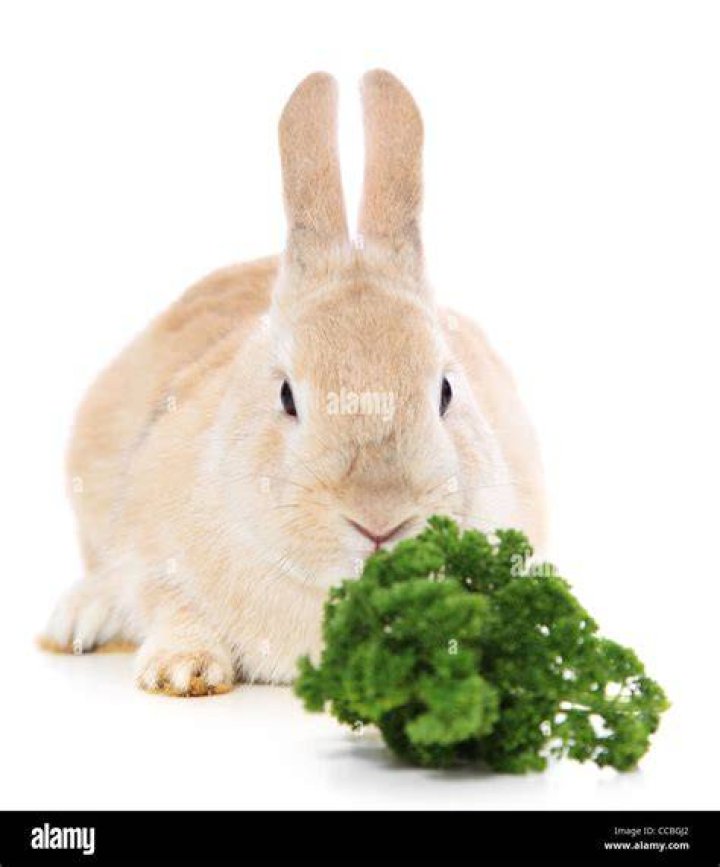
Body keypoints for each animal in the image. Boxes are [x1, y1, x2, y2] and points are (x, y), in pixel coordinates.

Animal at [40, 70, 546, 695]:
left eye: (447, 392)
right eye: (286, 397)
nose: (380, 518)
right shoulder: (150, 550)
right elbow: (170, 604)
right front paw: (183, 672)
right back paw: (76, 620)